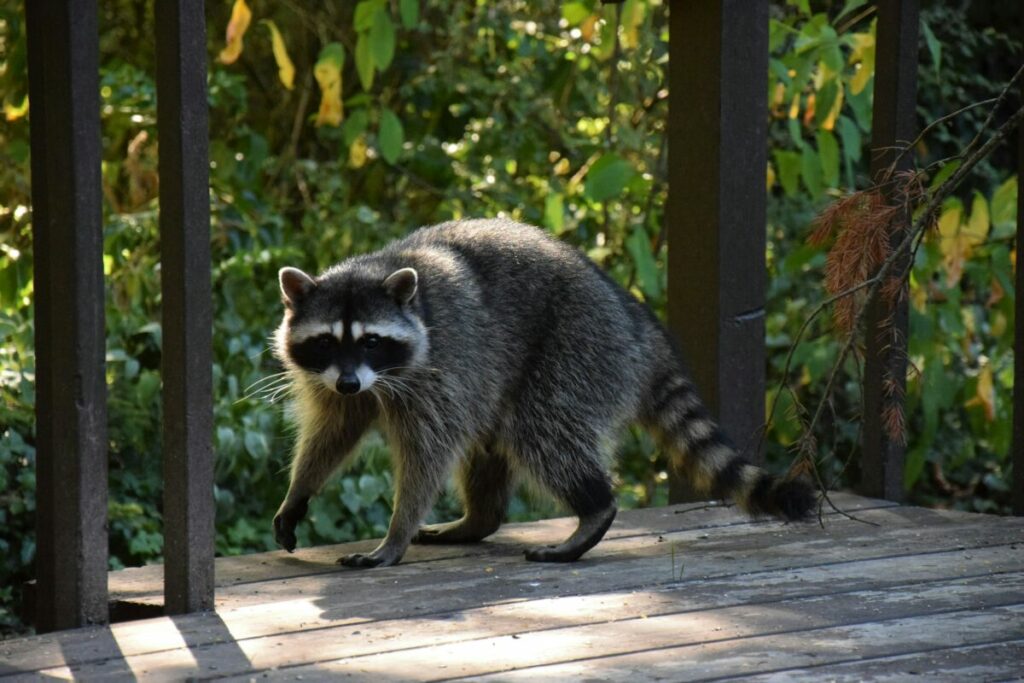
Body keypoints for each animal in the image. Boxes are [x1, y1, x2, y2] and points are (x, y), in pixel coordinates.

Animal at [271, 218, 815, 568]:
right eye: (326, 342)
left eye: (371, 340)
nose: (348, 382)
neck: (380, 266)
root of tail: (637, 323)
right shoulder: (340, 381)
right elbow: (333, 432)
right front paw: (299, 490)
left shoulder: (442, 367)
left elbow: (427, 454)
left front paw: (395, 533)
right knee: (493, 444)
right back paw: (479, 519)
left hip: (578, 348)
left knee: (542, 432)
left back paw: (593, 509)